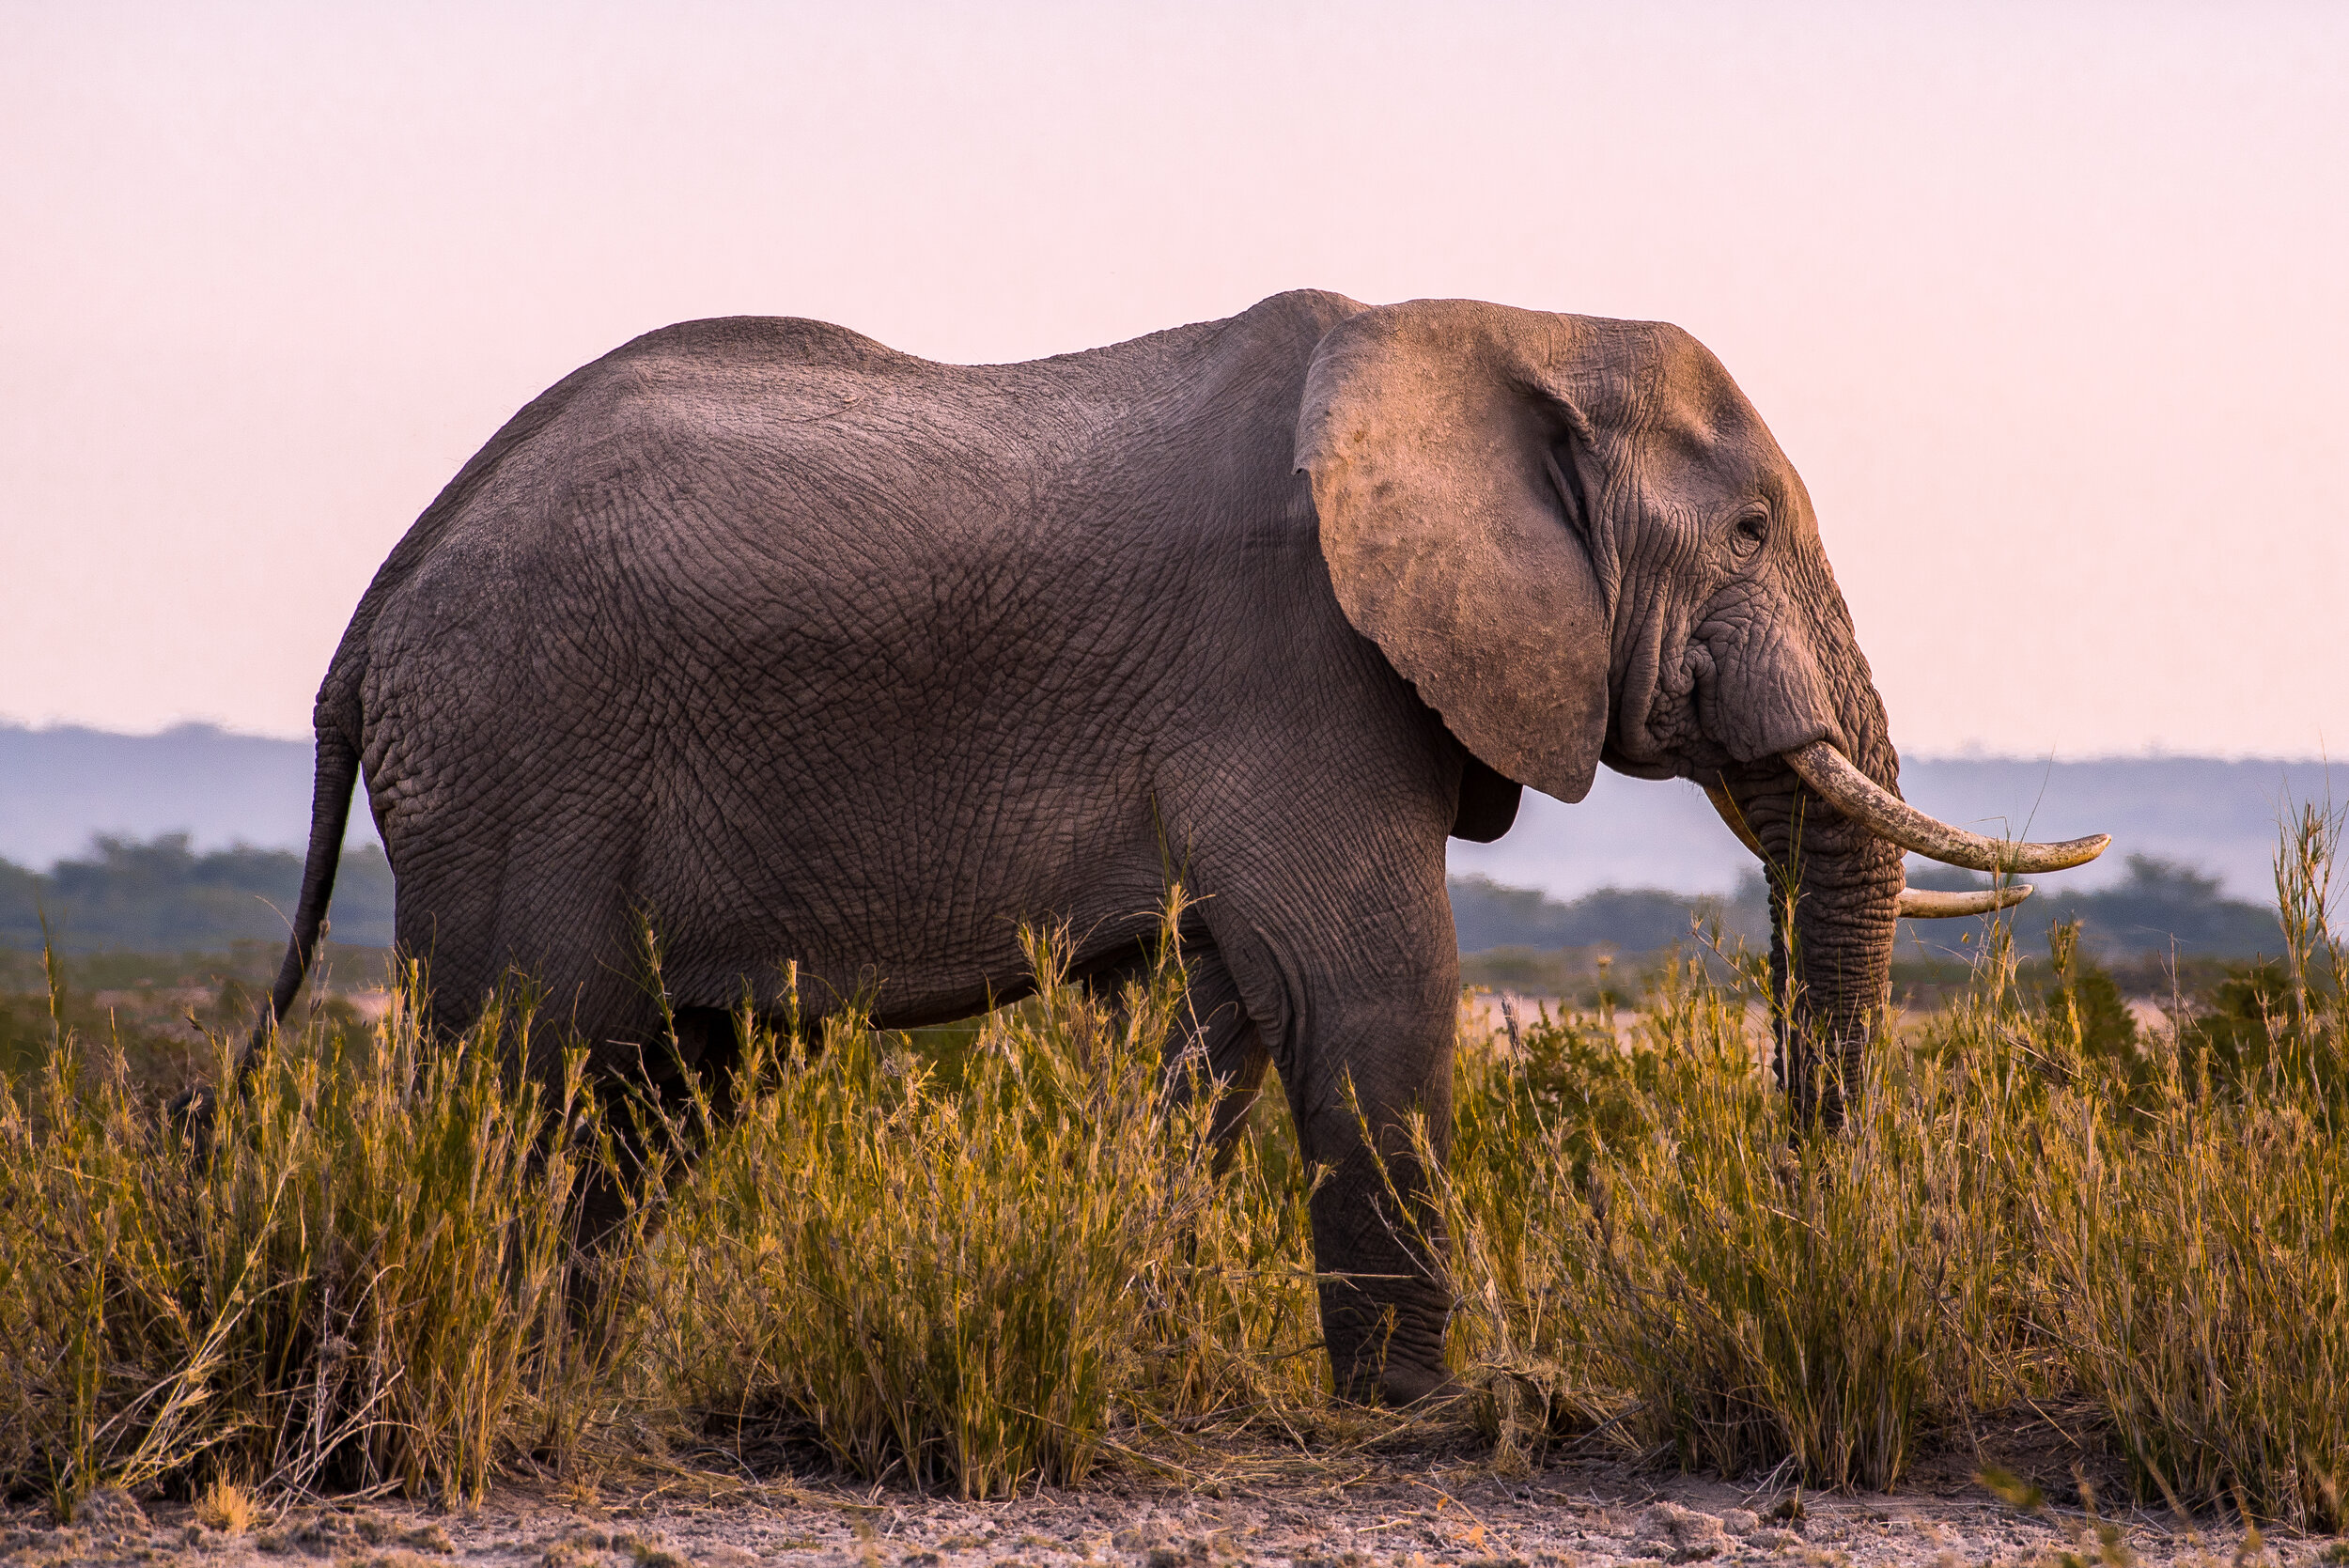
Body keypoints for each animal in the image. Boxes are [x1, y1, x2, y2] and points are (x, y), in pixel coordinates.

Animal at [247, 287, 2105, 1399]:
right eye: (1752, 529)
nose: (1794, 1229)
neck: (1500, 327)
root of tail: (376, 606)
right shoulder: (1298, 657)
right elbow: (1373, 988)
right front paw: (1436, 1412)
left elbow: (1217, 1029)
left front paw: (1126, 1343)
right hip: (521, 755)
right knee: (515, 1063)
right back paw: (465, 1369)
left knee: (657, 1091)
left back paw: (567, 1377)